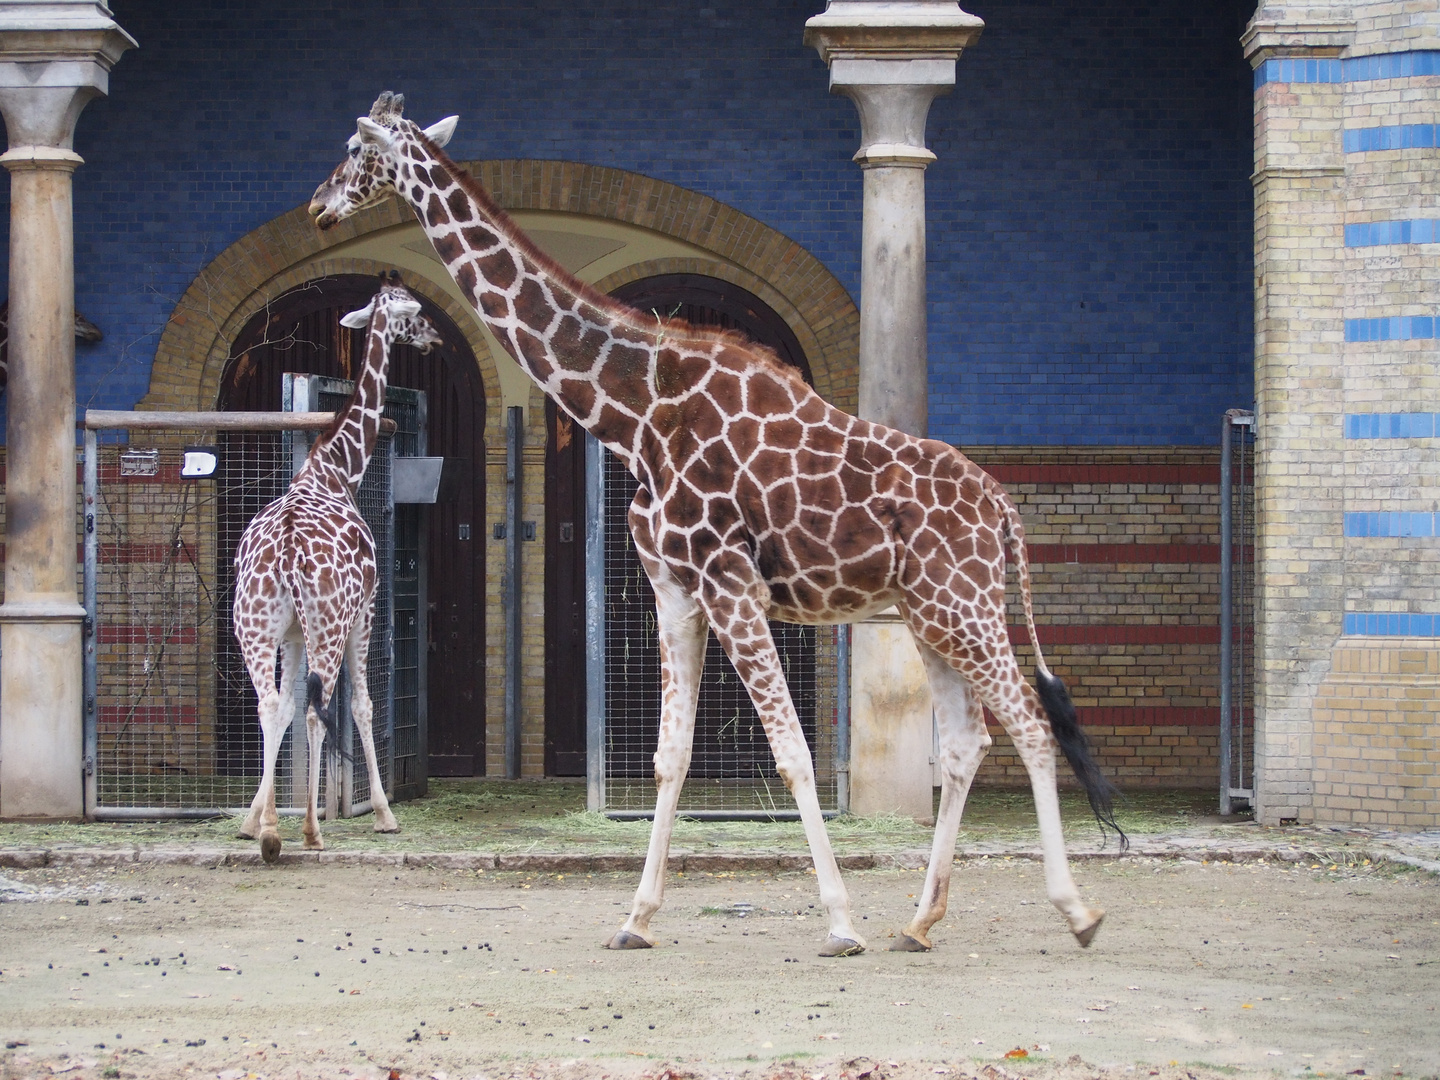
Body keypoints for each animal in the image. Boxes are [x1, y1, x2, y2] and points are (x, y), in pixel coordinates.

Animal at [231, 275, 437, 869]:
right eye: (413, 314)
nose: (434, 336)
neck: (338, 468)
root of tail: (288, 552)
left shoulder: (292, 632)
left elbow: (286, 707)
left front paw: (253, 820)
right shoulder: (365, 608)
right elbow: (361, 705)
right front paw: (385, 815)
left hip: (255, 625)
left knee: (272, 704)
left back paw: (272, 832)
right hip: (328, 621)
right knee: (317, 708)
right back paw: (308, 831)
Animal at [312, 92, 1123, 956]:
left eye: (354, 146)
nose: (320, 205)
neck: (635, 413)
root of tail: (1001, 507)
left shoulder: (730, 582)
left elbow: (793, 751)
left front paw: (839, 922)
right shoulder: (674, 587)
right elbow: (668, 754)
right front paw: (635, 918)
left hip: (962, 605)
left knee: (1030, 723)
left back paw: (1076, 911)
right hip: (929, 614)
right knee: (970, 739)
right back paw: (920, 920)